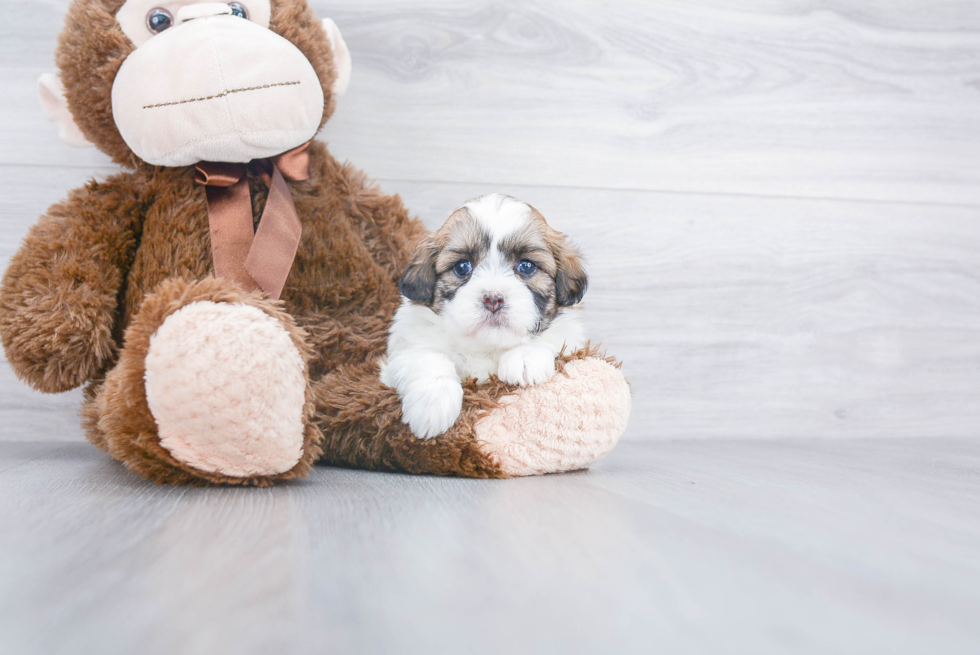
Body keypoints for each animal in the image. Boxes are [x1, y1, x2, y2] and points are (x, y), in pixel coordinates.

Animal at [378, 195, 584, 440]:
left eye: (526, 266)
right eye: (462, 267)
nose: (493, 299)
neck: (485, 346)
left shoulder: (572, 338)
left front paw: (525, 357)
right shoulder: (402, 352)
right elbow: (427, 358)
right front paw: (434, 404)